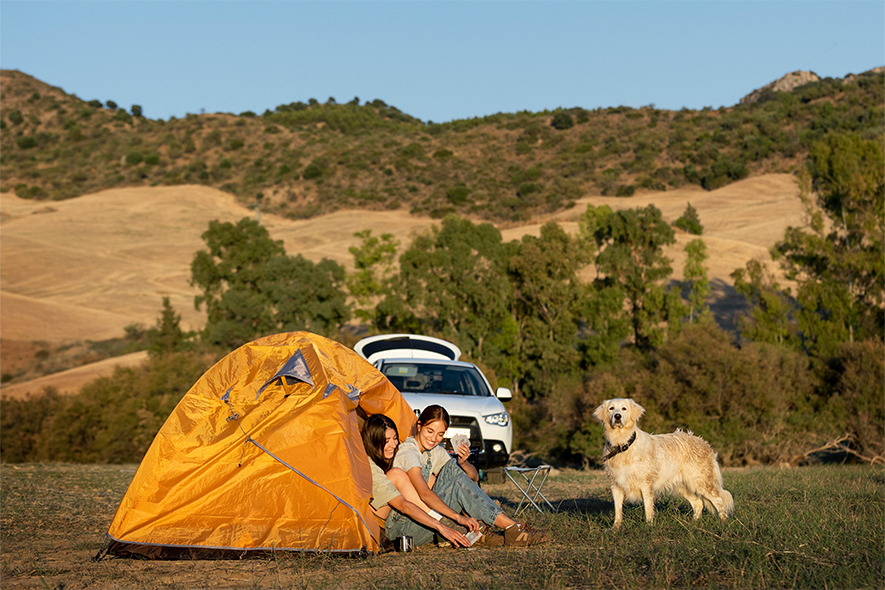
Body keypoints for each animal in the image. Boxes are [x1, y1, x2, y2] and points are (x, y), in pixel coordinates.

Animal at [592, 400, 732, 528]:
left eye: (624, 408)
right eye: (611, 408)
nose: (617, 416)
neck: (622, 445)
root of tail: (703, 442)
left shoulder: (646, 485)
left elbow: (648, 509)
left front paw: (649, 527)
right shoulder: (616, 485)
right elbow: (618, 510)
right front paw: (615, 528)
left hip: (701, 482)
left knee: (719, 500)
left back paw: (722, 523)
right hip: (682, 486)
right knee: (698, 503)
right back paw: (693, 523)